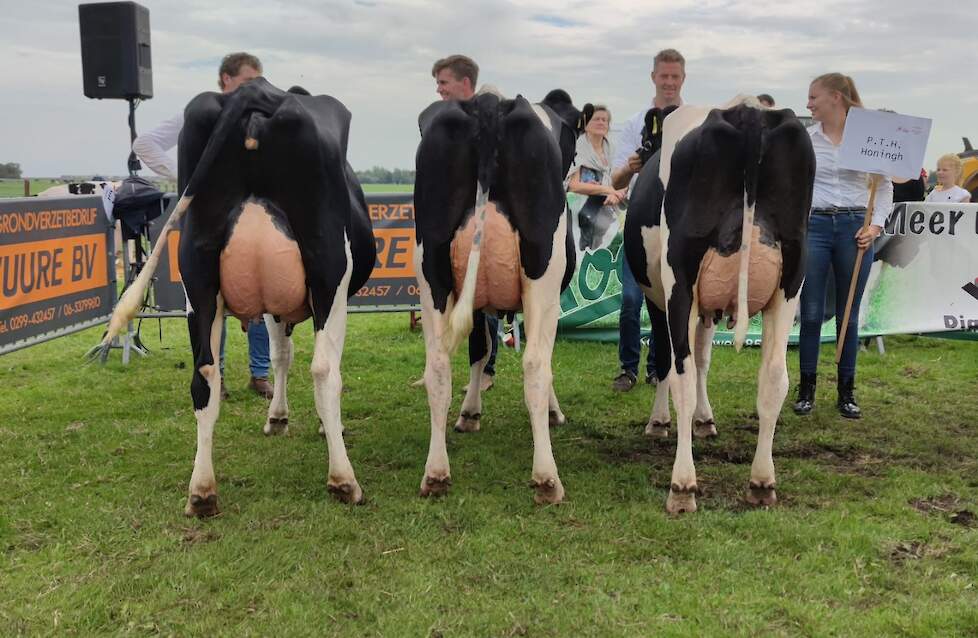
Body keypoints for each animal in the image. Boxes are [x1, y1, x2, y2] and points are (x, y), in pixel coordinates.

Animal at [99, 77, 374, 516]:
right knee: (324, 370)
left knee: (205, 376)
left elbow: (280, 355)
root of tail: (256, 90)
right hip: (329, 268)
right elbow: (297, 358)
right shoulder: (325, 297)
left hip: (197, 279)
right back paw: (344, 480)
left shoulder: (275, 306)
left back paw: (201, 491)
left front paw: (276, 417)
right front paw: (313, 424)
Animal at [412, 89, 580, 504]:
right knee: (535, 364)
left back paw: (436, 473)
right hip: (543, 276)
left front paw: (469, 412)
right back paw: (547, 478)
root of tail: (488, 102)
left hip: (431, 273)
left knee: (438, 365)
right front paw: (553, 413)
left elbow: (479, 348)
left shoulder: (474, 303)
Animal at [620, 95, 812, 516]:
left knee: (681, 374)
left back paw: (682, 486)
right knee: (774, 377)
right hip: (791, 281)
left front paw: (660, 422)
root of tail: (750, 111)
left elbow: (667, 358)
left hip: (680, 281)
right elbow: (705, 357)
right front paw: (706, 421)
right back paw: (761, 482)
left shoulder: (663, 298)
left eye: (644, 141)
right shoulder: (708, 304)